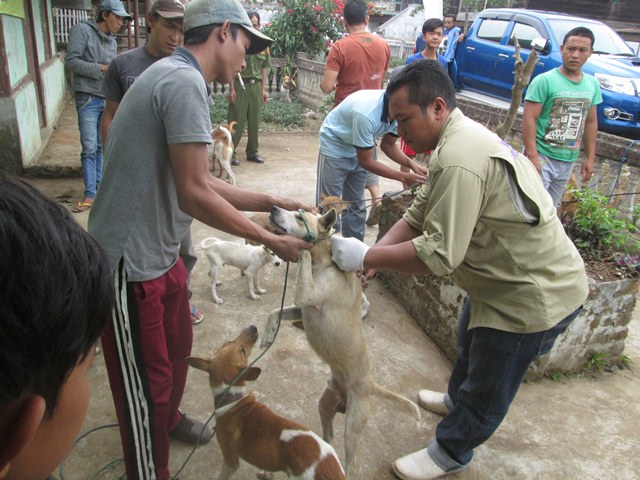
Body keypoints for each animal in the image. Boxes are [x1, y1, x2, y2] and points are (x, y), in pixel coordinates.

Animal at [185, 324, 344, 478]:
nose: (253, 327)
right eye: (230, 343)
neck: (232, 397)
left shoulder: (231, 460)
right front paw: (267, 473)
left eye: (242, 350)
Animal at [260, 206, 420, 476]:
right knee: (329, 435)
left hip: (353, 427)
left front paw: (307, 245)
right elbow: (275, 312)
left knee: (351, 462)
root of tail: (370, 384)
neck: (322, 264)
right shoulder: (303, 308)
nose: (273, 208)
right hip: (325, 405)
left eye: (298, 217)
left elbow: (304, 252)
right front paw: (269, 334)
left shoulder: (307, 295)